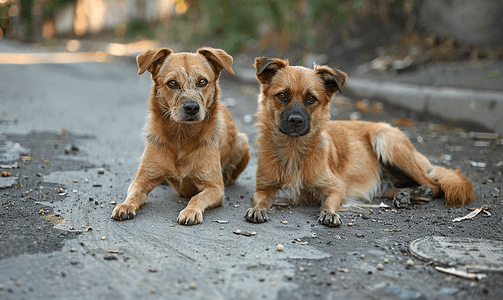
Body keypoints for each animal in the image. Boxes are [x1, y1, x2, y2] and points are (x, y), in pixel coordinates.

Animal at [111, 47, 250, 225]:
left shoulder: (215, 188)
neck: (181, 137)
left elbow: (197, 198)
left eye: (202, 82)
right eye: (172, 83)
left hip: (242, 142)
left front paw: (190, 211)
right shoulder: (142, 179)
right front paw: (125, 205)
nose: (192, 108)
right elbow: (134, 193)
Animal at [246, 56, 474, 227]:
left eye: (311, 99)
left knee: (433, 184)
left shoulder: (337, 187)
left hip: (386, 141)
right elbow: (261, 199)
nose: (295, 121)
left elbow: (329, 202)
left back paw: (418, 192)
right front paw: (257, 209)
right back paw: (406, 195)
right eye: (282, 95)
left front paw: (329, 212)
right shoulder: (263, 187)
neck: (293, 150)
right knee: (393, 187)